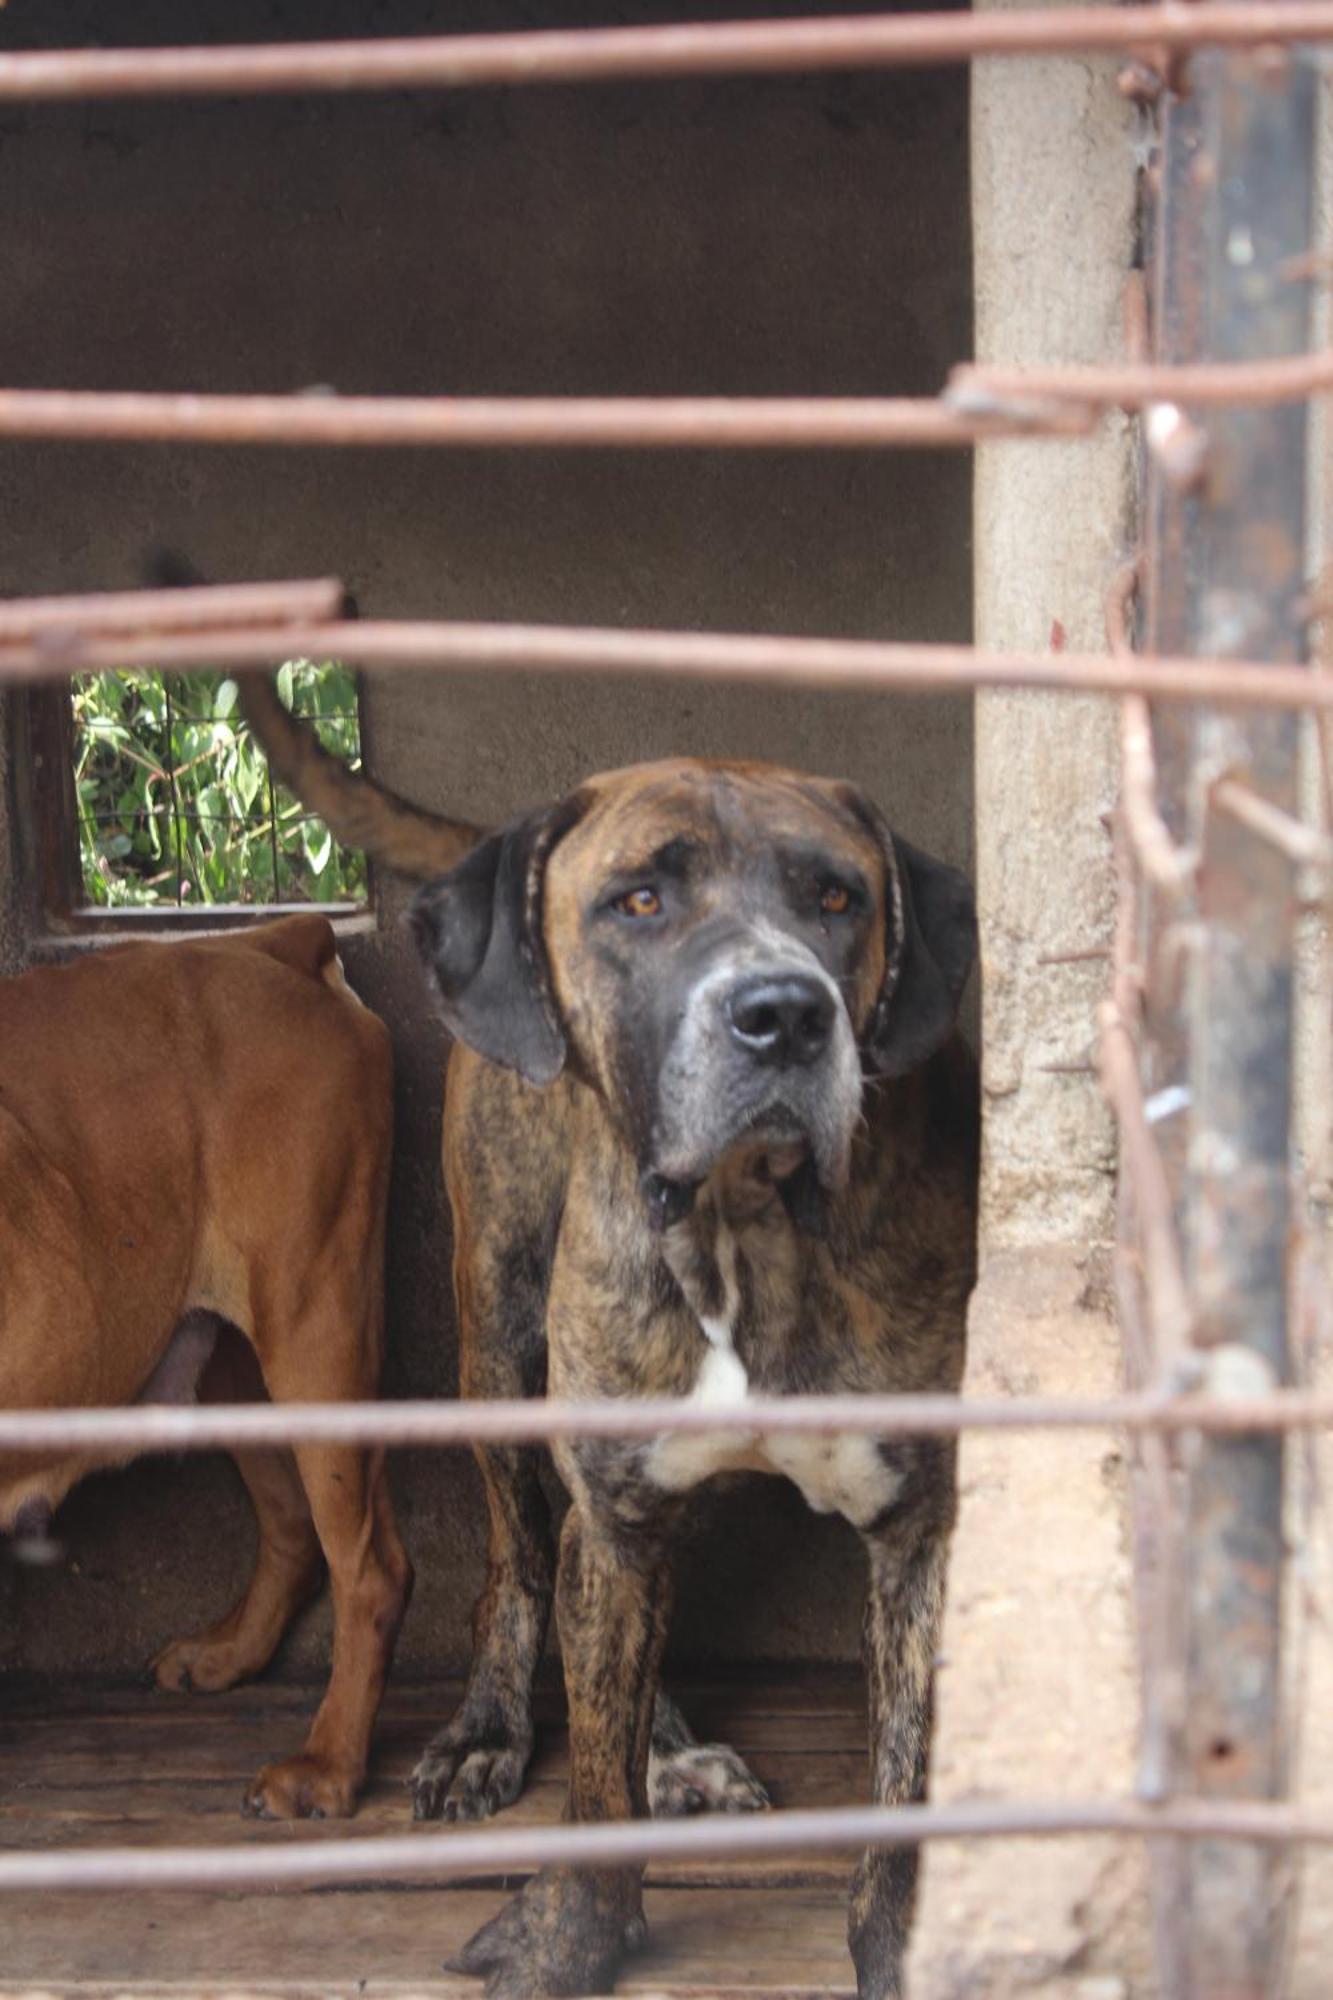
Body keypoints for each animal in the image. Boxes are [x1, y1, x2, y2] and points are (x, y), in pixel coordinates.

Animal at [0, 916, 410, 1824]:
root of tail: (272, 939)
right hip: (234, 1360)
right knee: (291, 1526)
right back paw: (229, 1653)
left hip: (316, 1328)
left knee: (368, 1568)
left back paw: (327, 1765)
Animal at [241, 676, 976, 2000]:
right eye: (639, 900)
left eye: (837, 897)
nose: (784, 1012)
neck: (742, 1226)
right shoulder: (615, 1497)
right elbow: (591, 1771)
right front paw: (571, 1934)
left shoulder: (918, 1532)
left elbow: (907, 1779)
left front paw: (899, 1940)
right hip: (500, 1343)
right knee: (526, 1565)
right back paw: (507, 1727)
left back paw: (673, 1749)